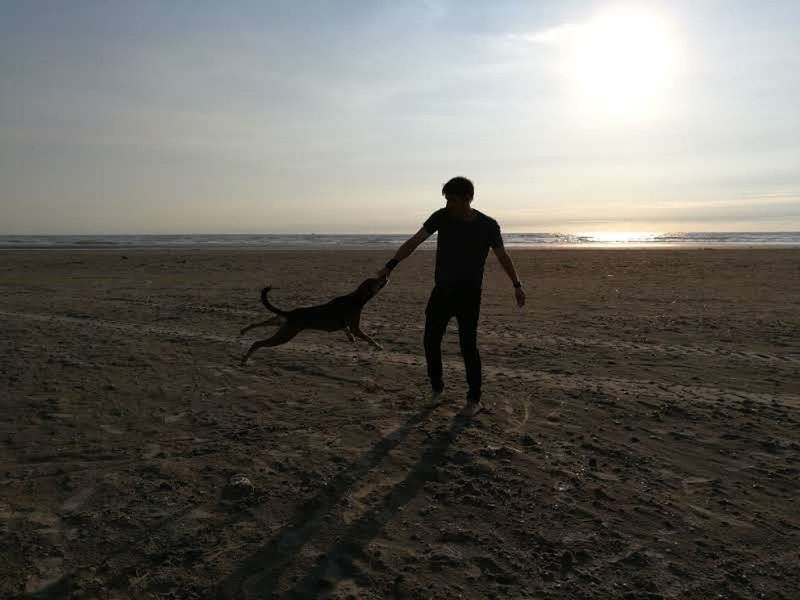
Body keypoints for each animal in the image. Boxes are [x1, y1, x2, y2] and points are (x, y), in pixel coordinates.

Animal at [239, 278, 386, 366]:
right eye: (376, 281)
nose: (385, 278)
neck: (357, 298)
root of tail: (290, 313)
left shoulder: (350, 327)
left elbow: (351, 333)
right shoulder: (355, 327)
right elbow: (369, 338)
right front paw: (378, 346)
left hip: (281, 324)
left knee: (259, 323)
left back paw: (244, 331)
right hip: (285, 335)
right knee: (258, 343)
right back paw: (245, 358)